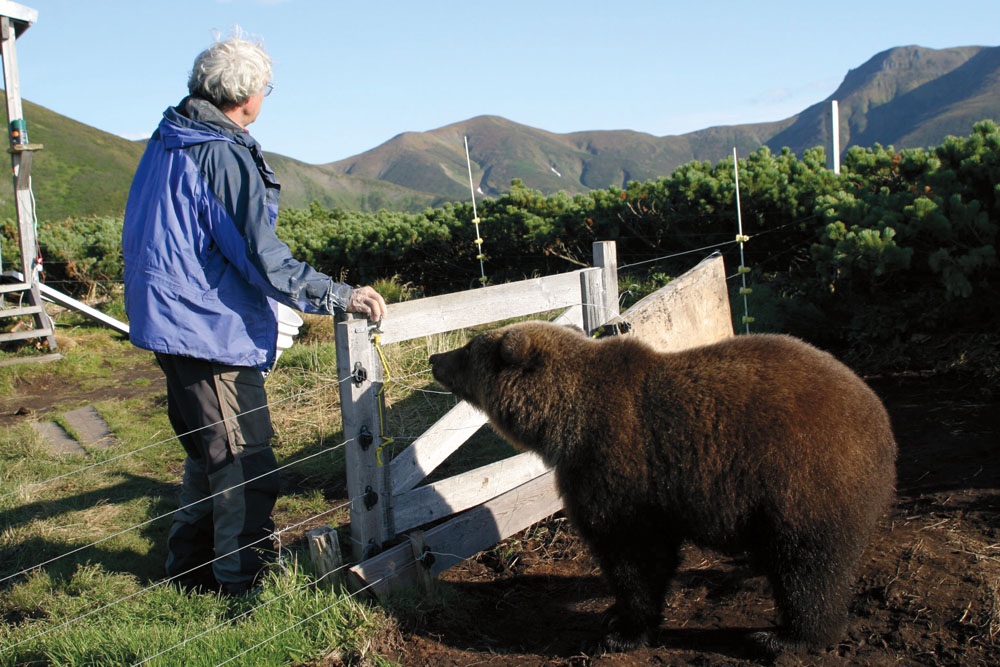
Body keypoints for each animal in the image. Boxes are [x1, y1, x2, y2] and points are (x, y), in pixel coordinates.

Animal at [430, 320, 900, 656]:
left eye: (468, 348)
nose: (436, 356)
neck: (564, 424)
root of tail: (879, 416)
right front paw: (612, 617)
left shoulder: (618, 469)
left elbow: (634, 556)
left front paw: (621, 632)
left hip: (803, 479)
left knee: (808, 567)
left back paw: (787, 637)